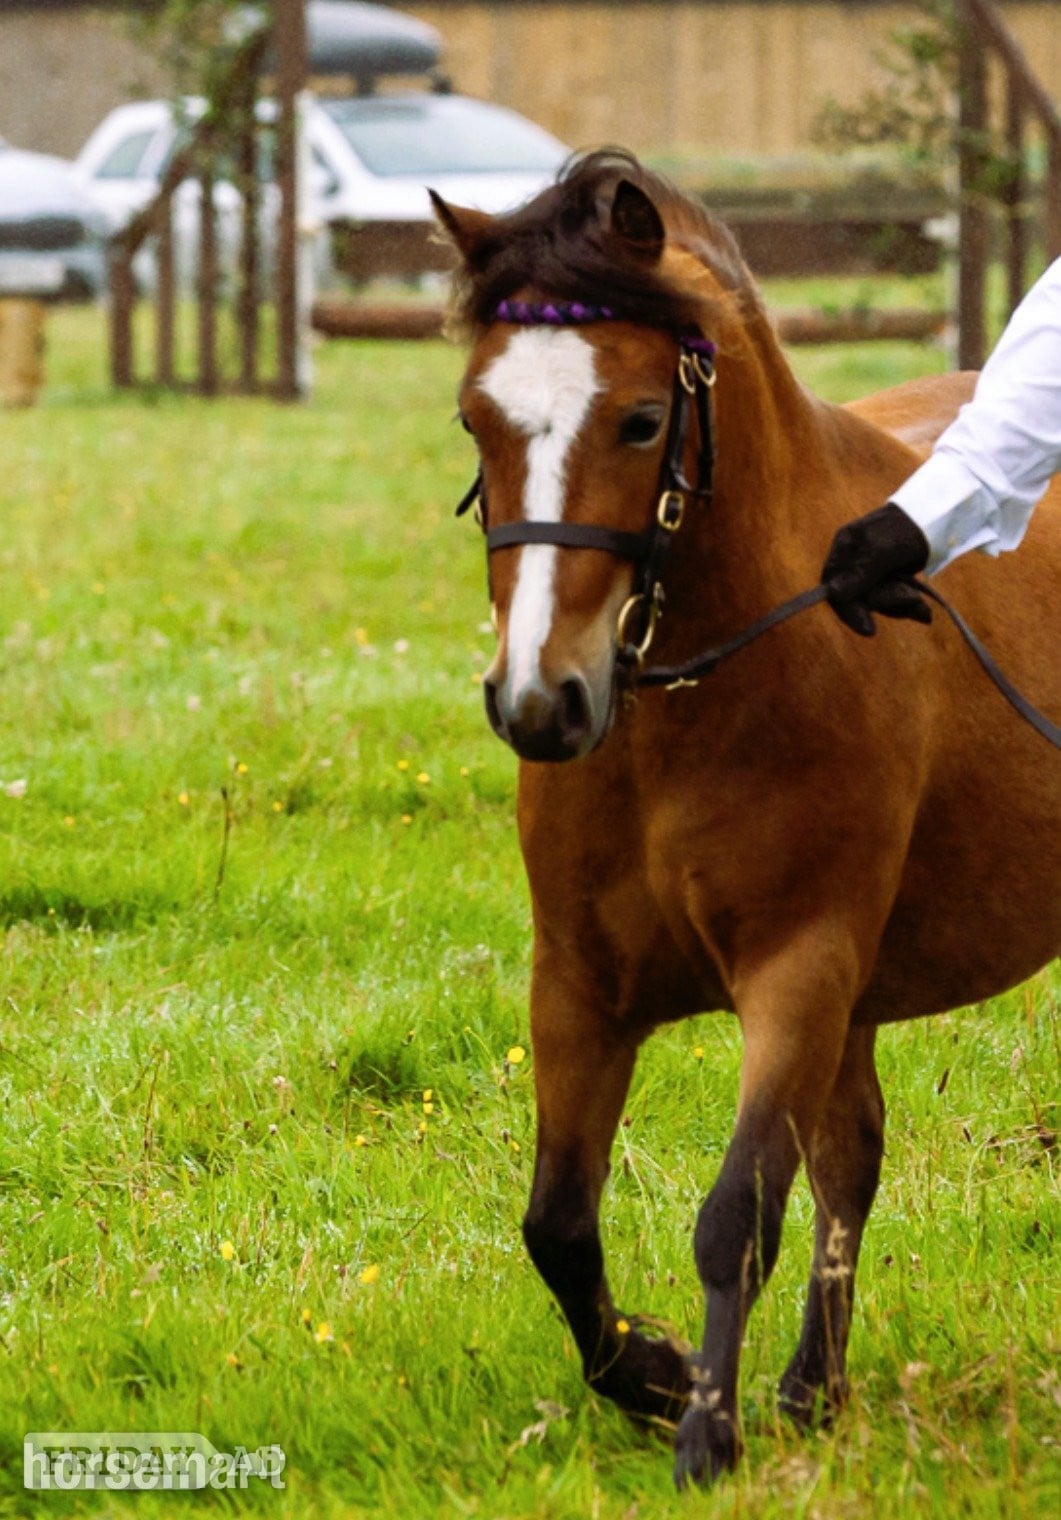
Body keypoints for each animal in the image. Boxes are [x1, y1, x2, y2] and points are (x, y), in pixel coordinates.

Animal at [431, 150, 1061, 1487]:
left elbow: (735, 1212)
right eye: (475, 419)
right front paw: (660, 1374)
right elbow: (556, 1222)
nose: (538, 703)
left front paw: (703, 1432)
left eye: (639, 418)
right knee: (852, 1154)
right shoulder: (579, 982)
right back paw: (812, 1387)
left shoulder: (797, 968)